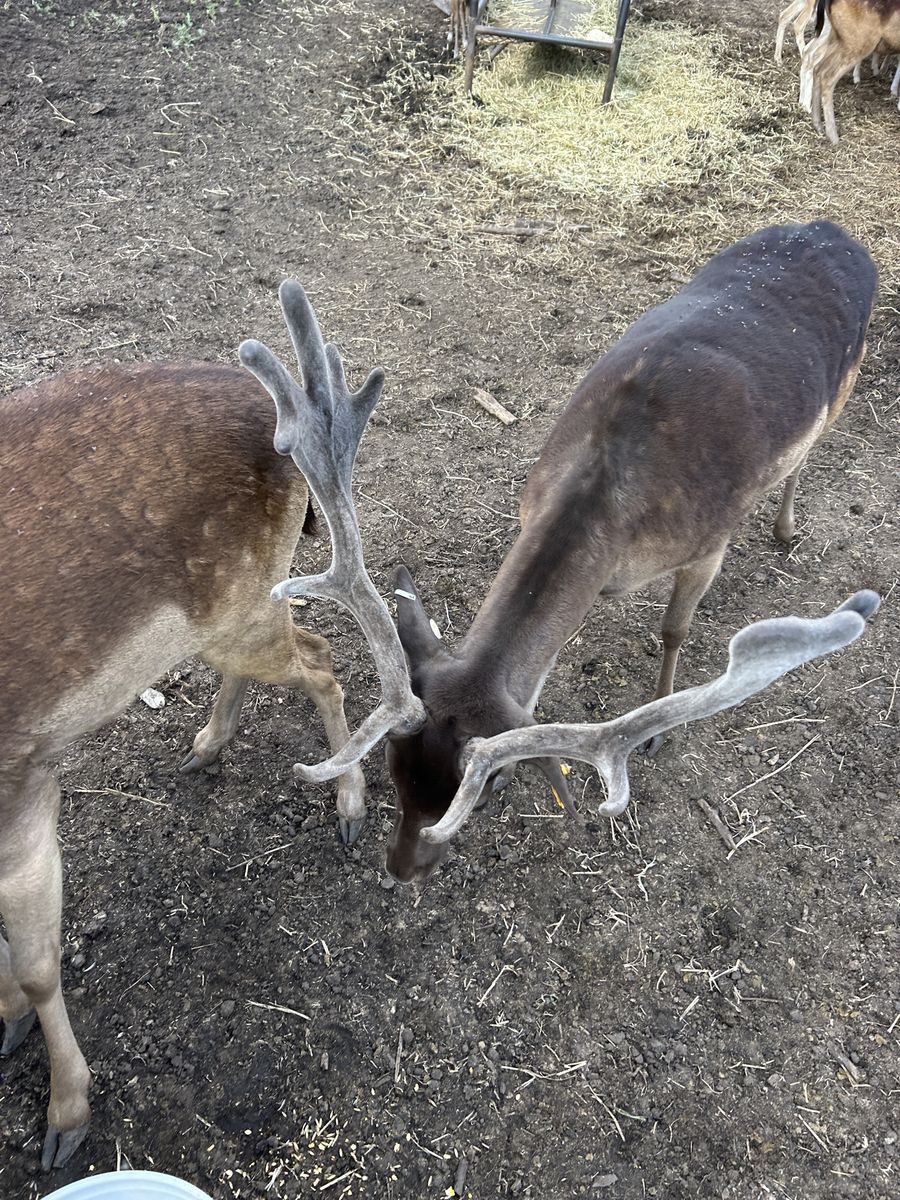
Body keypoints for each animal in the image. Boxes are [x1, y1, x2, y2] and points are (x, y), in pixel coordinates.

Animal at [0, 357, 384, 1168]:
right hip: (237, 612)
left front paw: (65, 1117)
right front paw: (8, 1020)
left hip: (243, 609)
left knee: (322, 657)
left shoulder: (21, 780)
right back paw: (207, 746)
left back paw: (350, 808)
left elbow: (41, 965)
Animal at [238, 220, 879, 886]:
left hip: (844, 383)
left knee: (808, 452)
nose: (401, 868)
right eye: (393, 765)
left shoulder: (708, 543)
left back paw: (785, 528)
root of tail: (830, 230)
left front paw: (656, 728)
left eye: (486, 789)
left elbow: (674, 629)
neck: (612, 481)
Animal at [800, 0, 900, 140]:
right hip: (859, 41)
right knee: (827, 75)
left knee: (817, 66)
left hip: (838, 38)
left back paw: (817, 124)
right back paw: (833, 136)